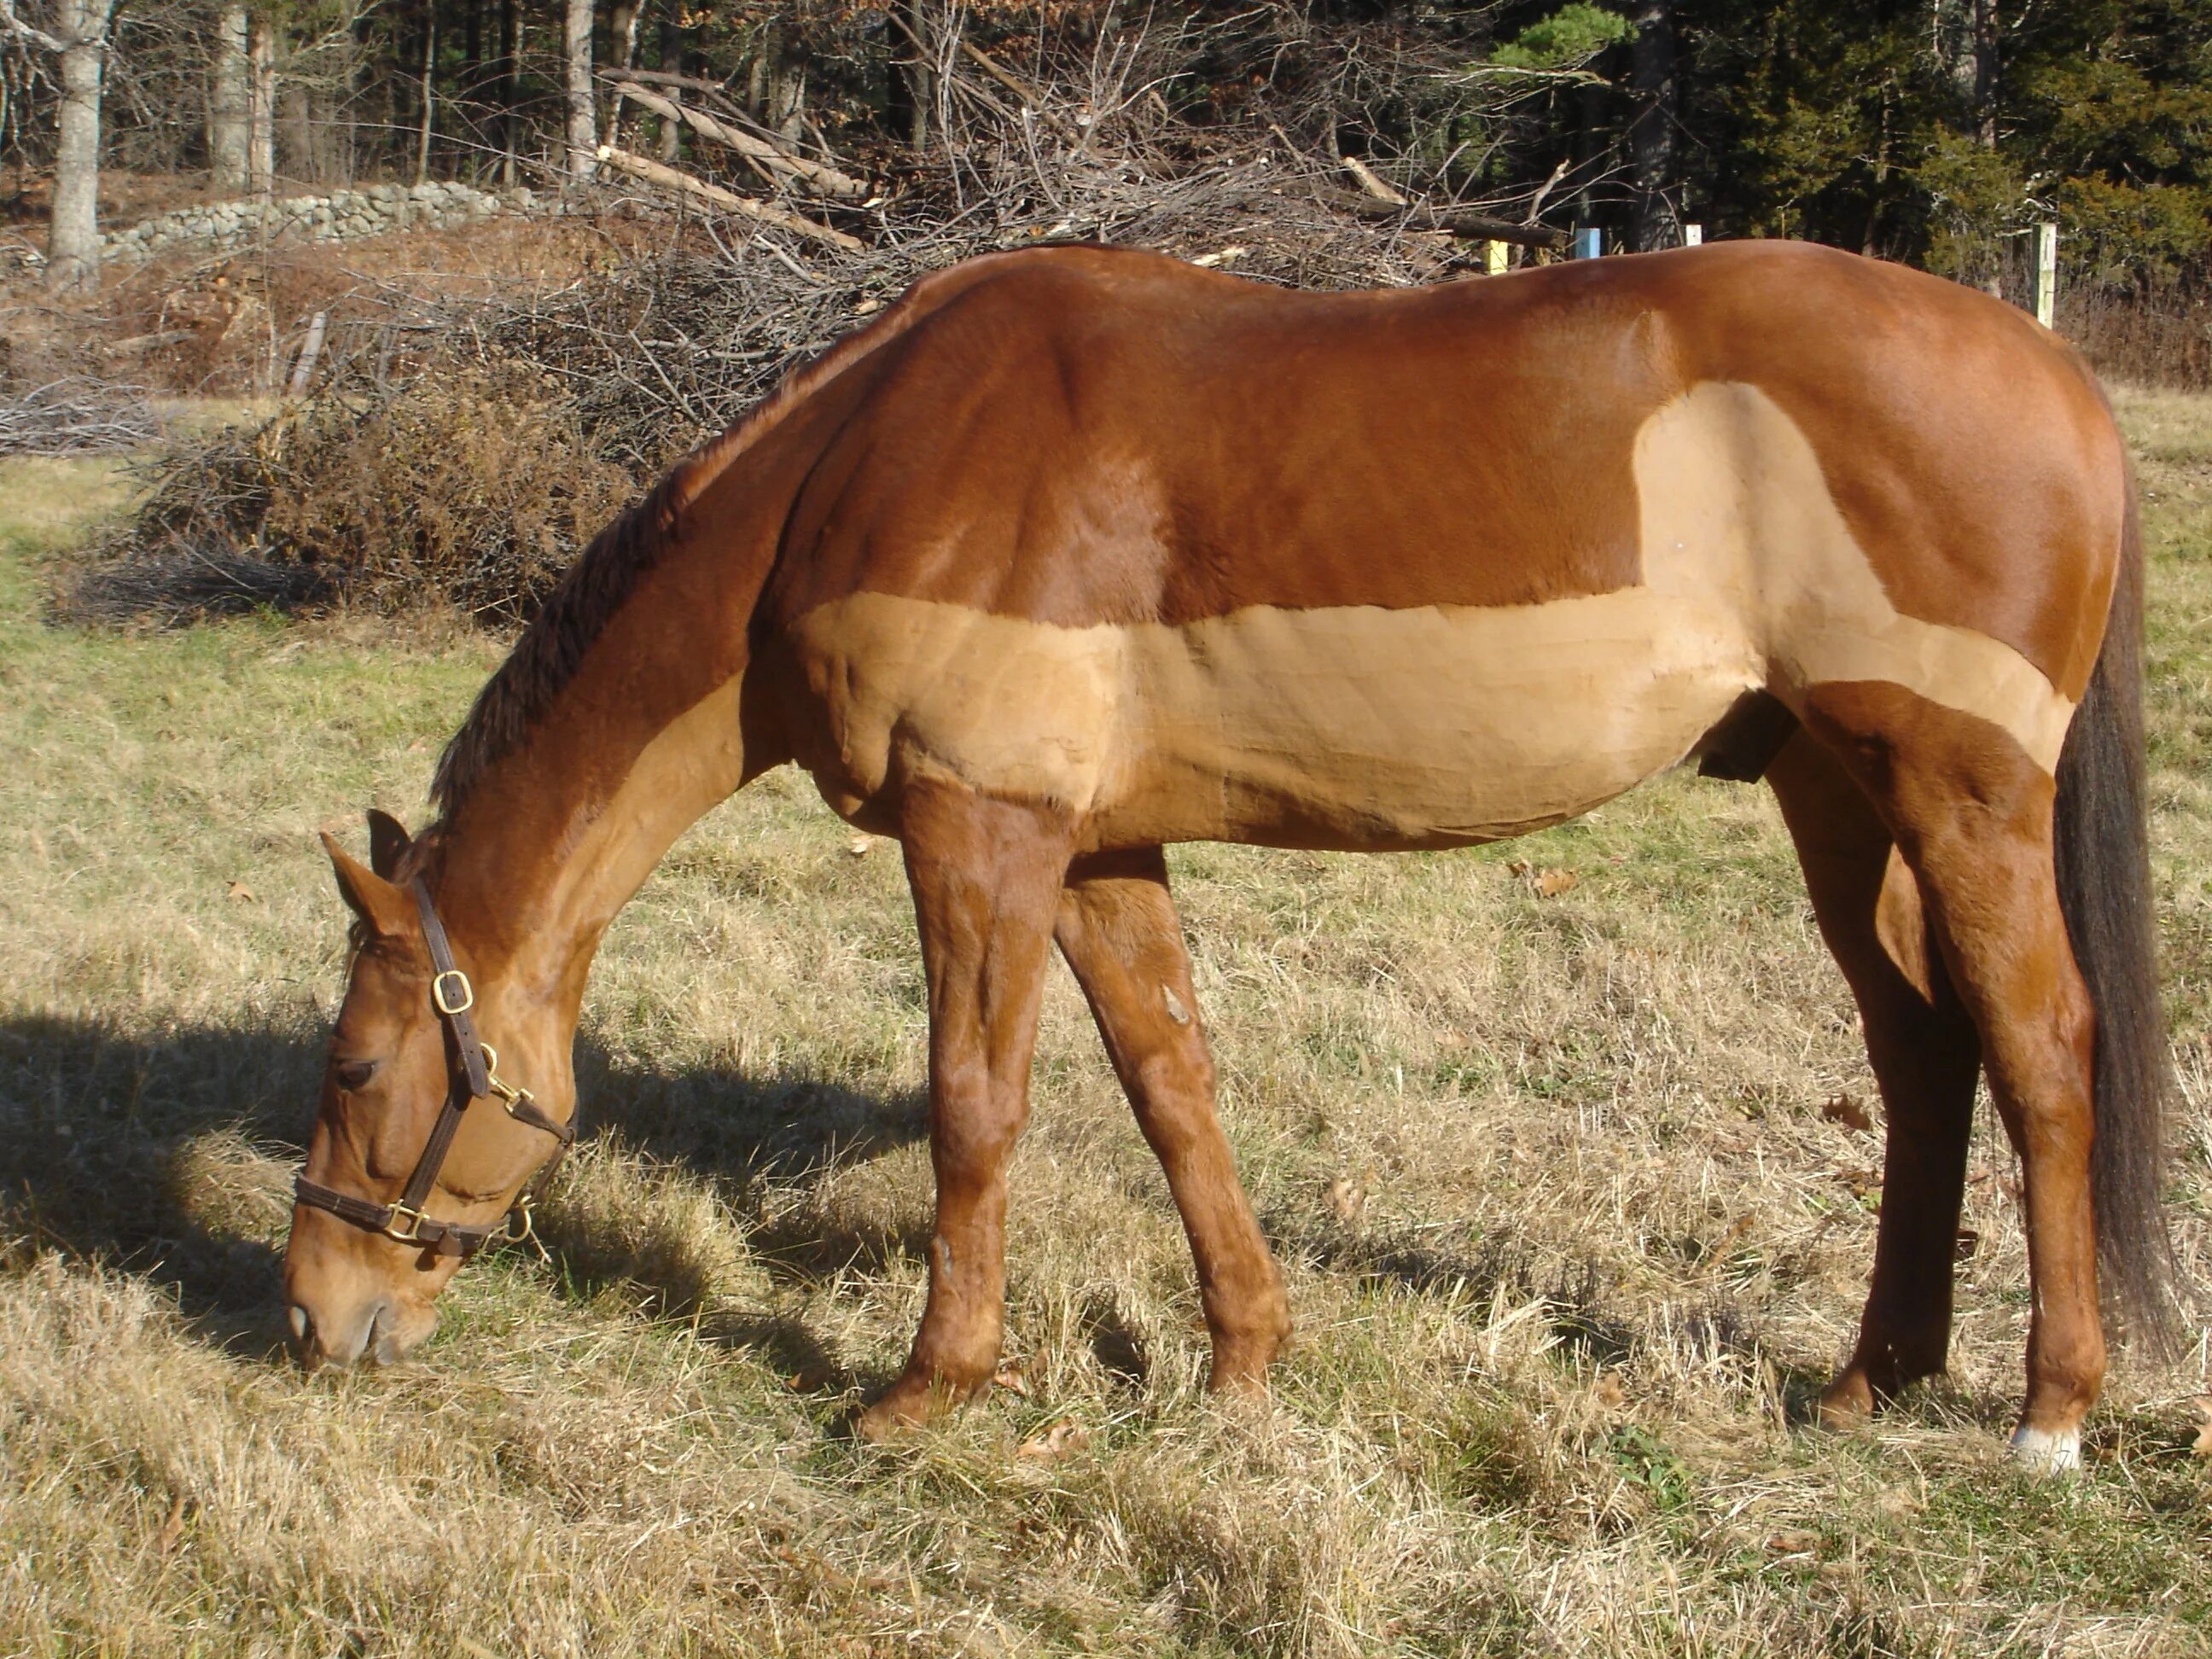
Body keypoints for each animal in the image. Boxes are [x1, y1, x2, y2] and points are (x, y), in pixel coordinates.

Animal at [285, 240, 2168, 1477]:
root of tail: (2057, 375)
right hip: (1835, 789)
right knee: (1921, 1057)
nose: (312, 1321)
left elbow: (976, 1111)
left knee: (2042, 1051)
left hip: (1961, 790)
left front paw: (924, 1390)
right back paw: (1871, 1379)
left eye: (358, 1068)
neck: (866, 460)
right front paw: (1244, 1363)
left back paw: (2048, 1413)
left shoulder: (985, 834)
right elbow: (1172, 1086)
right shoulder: (1101, 849)